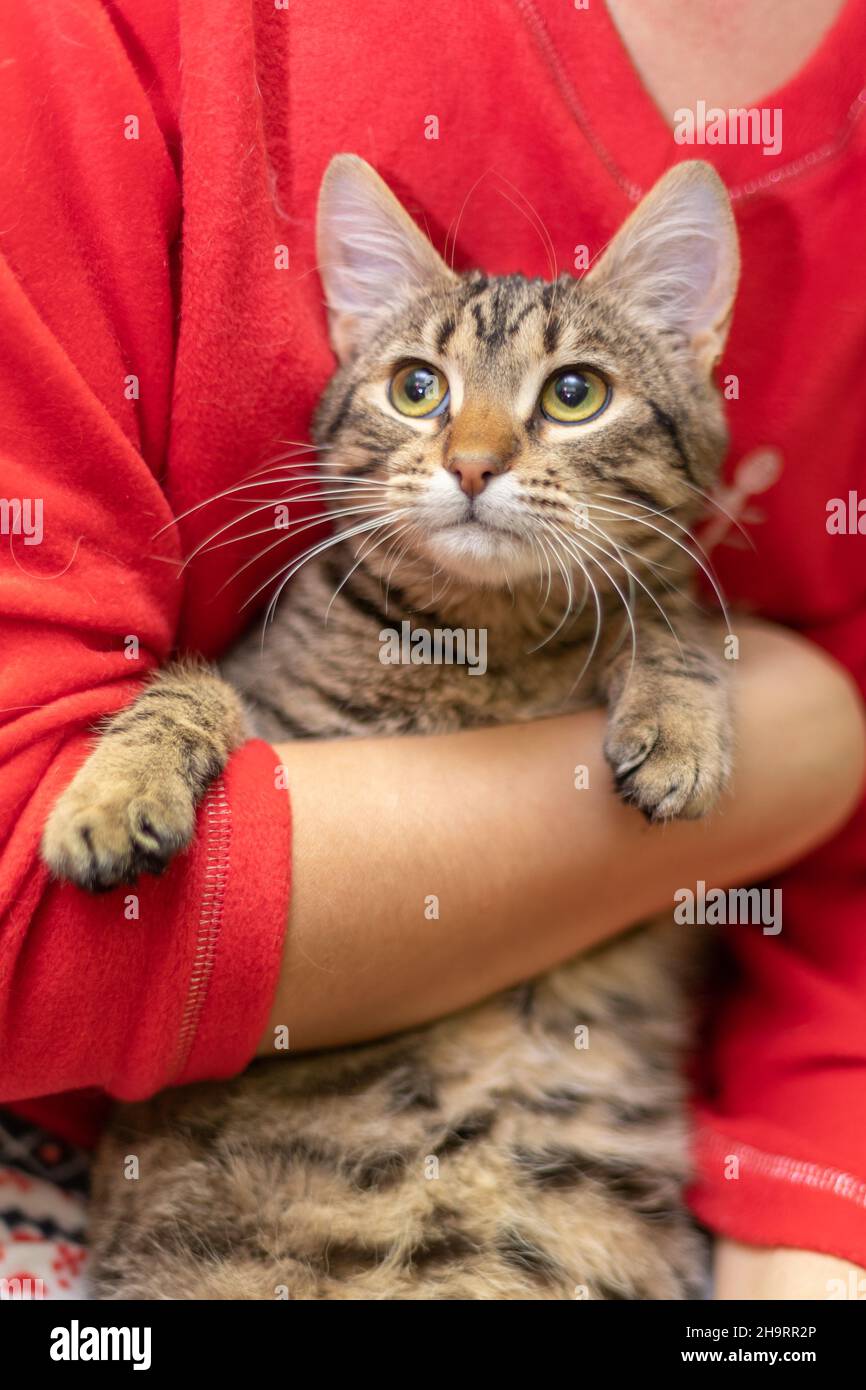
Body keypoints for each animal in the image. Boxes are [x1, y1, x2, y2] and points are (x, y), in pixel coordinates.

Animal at [40, 157, 739, 1295]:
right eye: (419, 387)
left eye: (574, 394)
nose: (473, 463)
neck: (481, 647)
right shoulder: (271, 707)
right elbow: (191, 690)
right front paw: (112, 792)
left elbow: (670, 611)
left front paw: (678, 721)